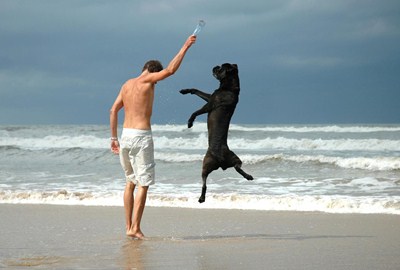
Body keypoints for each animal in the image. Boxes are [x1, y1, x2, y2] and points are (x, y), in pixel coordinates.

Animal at [180, 63, 253, 202]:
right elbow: (197, 91)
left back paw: (201, 197)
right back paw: (248, 176)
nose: (215, 66)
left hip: (206, 163)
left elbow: (195, 112)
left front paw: (190, 122)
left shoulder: (210, 104)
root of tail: (221, 161)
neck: (229, 88)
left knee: (205, 183)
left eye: (221, 68)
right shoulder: (209, 97)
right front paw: (186, 90)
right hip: (232, 159)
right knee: (236, 168)